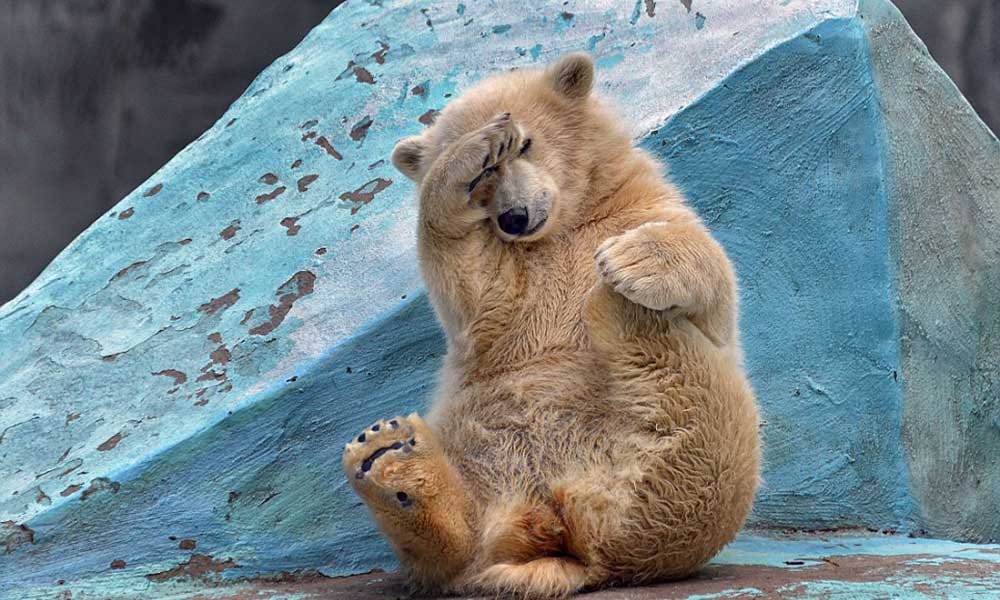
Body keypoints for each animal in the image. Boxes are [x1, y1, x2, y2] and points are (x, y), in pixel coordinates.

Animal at [342, 53, 761, 598]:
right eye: (485, 178)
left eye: (527, 143)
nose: (515, 217)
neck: (568, 221)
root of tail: (569, 539)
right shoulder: (516, 277)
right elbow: (474, 288)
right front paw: (469, 151)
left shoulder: (641, 206)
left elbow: (714, 283)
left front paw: (628, 262)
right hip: (481, 451)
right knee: (462, 537)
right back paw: (391, 459)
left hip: (701, 469)